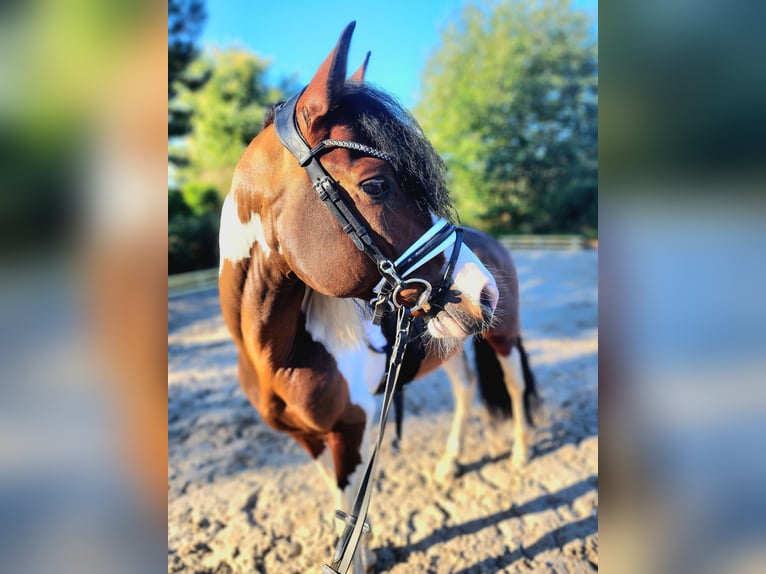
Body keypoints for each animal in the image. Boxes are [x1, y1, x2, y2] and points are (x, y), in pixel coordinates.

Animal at [218, 20, 540, 572]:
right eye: (375, 185)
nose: (484, 292)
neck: (279, 352)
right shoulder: (312, 438)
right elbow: (338, 502)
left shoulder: (351, 427)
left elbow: (348, 505)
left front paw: (361, 557)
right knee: (464, 389)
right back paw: (450, 462)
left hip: (502, 337)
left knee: (514, 383)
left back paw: (520, 452)